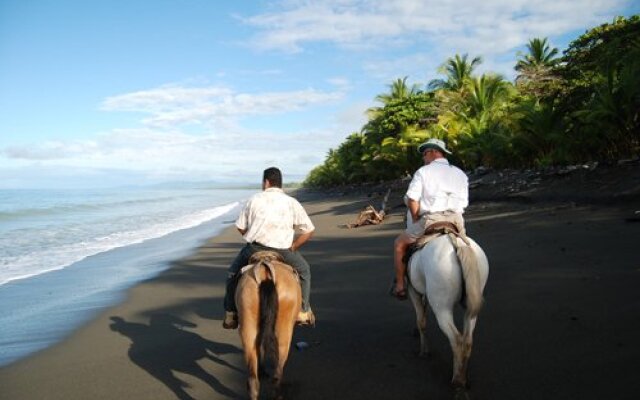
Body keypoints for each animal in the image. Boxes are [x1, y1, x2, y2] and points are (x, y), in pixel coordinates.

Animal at [236, 252, 302, 398]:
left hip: (248, 326)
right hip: (283, 334)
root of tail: (266, 275)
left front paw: (261, 370)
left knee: (253, 380)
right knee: (277, 373)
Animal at [408, 234, 488, 388]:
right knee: (467, 339)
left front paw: (424, 351)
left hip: (442, 309)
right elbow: (423, 316)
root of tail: (459, 244)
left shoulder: (413, 292)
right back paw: (463, 377)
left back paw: (457, 380)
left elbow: (421, 321)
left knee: (456, 339)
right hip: (472, 306)